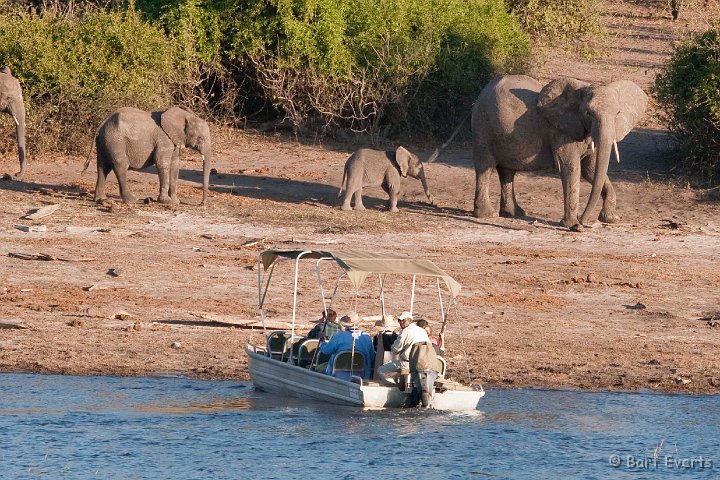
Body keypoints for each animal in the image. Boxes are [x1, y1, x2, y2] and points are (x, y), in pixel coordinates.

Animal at [82, 106, 211, 205]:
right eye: (201, 138)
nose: (202, 204)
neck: (184, 115)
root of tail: (101, 125)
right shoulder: (164, 140)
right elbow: (162, 163)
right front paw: (166, 201)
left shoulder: (174, 140)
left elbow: (175, 165)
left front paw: (175, 202)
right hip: (115, 141)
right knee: (120, 166)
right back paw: (131, 200)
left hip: (105, 142)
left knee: (103, 167)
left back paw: (101, 199)